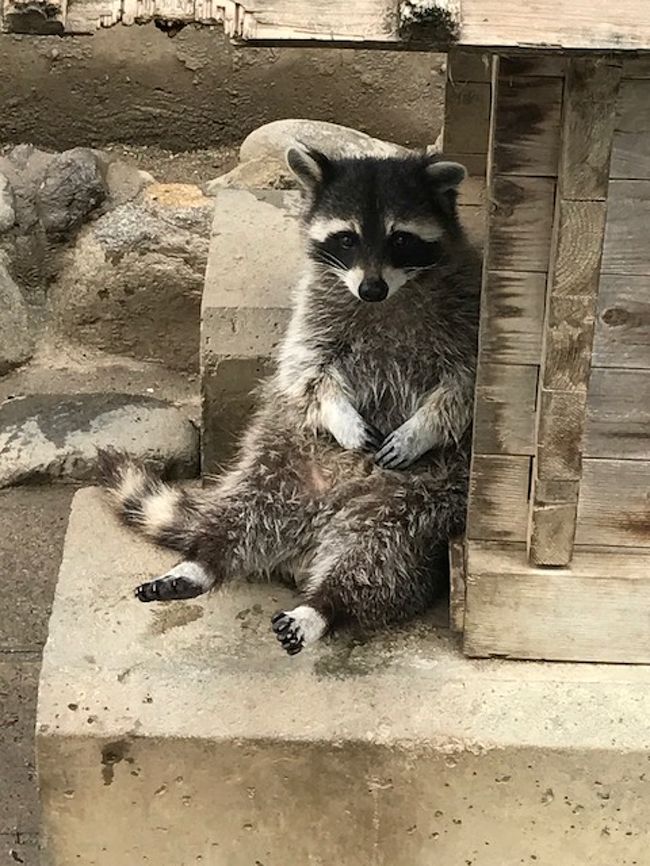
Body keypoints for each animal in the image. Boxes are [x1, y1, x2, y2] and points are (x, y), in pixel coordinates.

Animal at [98, 143, 478, 656]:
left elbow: (462, 386)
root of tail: (313, 533)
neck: (390, 298)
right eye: (346, 239)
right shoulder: (314, 312)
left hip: (414, 507)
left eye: (400, 239)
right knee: (237, 517)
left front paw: (421, 428)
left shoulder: (468, 310)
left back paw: (322, 607)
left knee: (377, 563)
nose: (371, 289)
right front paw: (342, 416)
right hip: (278, 460)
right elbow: (306, 372)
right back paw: (202, 562)